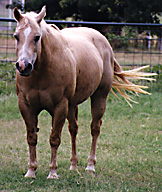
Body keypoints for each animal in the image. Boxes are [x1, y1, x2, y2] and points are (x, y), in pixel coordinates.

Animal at [13, 6, 155, 179]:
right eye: (16, 36)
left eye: (37, 37)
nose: (23, 66)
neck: (43, 69)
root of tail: (103, 41)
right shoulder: (26, 106)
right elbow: (32, 137)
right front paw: (31, 171)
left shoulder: (60, 106)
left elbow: (54, 138)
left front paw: (52, 172)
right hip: (72, 105)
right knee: (73, 129)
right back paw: (74, 165)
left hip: (99, 97)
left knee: (95, 128)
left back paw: (90, 166)